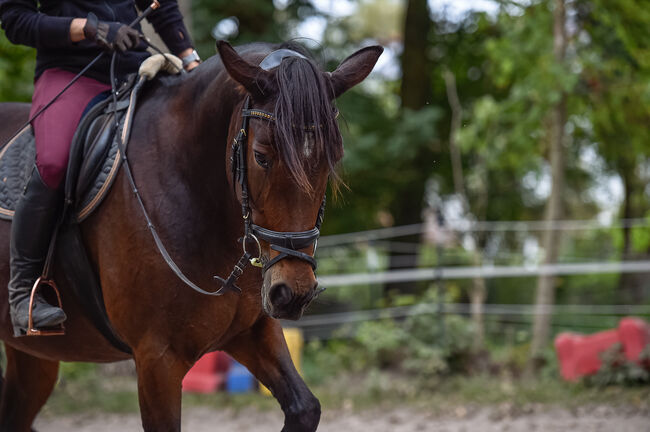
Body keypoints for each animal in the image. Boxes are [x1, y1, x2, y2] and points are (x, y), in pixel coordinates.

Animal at [0, 41, 380, 432]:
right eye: (261, 157)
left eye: (332, 158)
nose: (293, 293)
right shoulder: (157, 359)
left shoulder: (253, 331)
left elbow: (305, 408)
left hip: (34, 356)